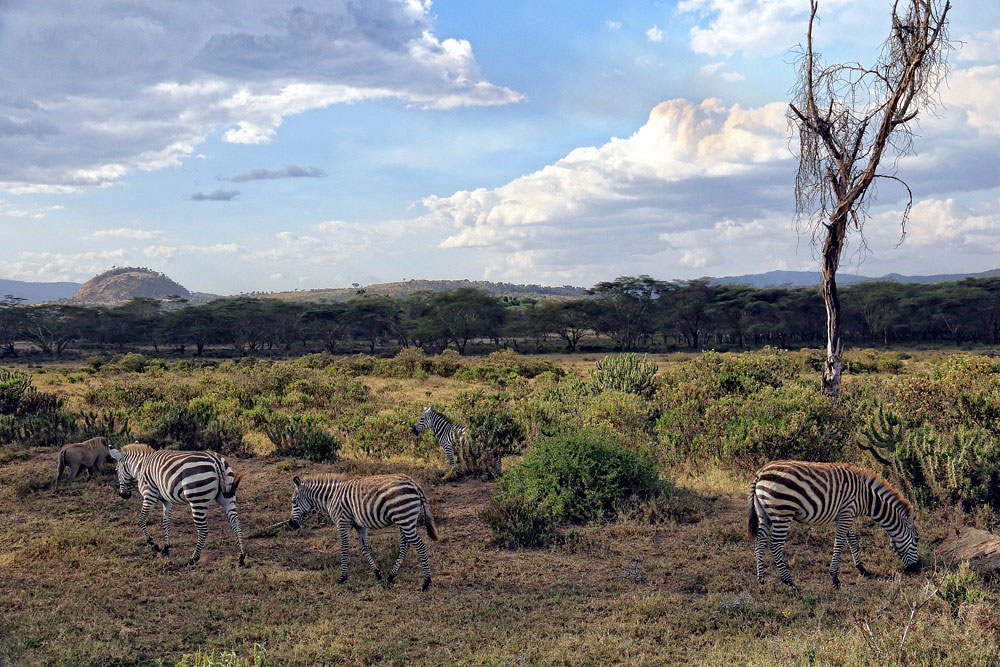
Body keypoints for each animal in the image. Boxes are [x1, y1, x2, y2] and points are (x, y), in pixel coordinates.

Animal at [109, 443, 247, 566]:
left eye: (116, 470)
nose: (123, 495)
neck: (141, 466)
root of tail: (215, 460)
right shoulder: (167, 501)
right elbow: (166, 522)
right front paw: (166, 547)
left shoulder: (149, 495)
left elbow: (141, 519)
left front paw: (153, 544)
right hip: (227, 497)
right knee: (236, 523)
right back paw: (241, 557)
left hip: (197, 500)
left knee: (203, 530)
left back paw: (193, 558)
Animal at [287, 473, 439, 590]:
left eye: (294, 501)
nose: (291, 524)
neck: (331, 497)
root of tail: (414, 484)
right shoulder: (360, 526)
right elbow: (364, 549)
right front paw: (377, 574)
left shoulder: (342, 523)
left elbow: (344, 549)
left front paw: (342, 578)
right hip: (405, 520)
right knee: (405, 546)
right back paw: (390, 577)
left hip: (404, 517)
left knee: (420, 546)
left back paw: (426, 583)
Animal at [748, 460, 919, 590]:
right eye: (917, 540)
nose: (917, 568)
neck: (866, 498)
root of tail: (760, 473)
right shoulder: (847, 513)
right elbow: (840, 544)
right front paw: (835, 578)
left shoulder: (846, 515)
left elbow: (852, 541)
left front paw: (862, 569)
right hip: (782, 511)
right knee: (775, 545)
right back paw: (790, 582)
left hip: (764, 512)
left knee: (760, 541)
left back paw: (761, 578)